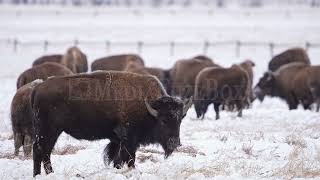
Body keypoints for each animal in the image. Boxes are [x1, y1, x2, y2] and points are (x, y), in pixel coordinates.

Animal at [31, 71, 192, 176]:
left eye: (180, 120)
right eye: (164, 121)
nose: (174, 143)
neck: (149, 108)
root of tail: (38, 88)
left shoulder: (118, 141)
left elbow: (117, 159)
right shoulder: (128, 140)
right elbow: (129, 158)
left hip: (52, 131)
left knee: (44, 151)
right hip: (49, 130)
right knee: (40, 150)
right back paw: (44, 174)